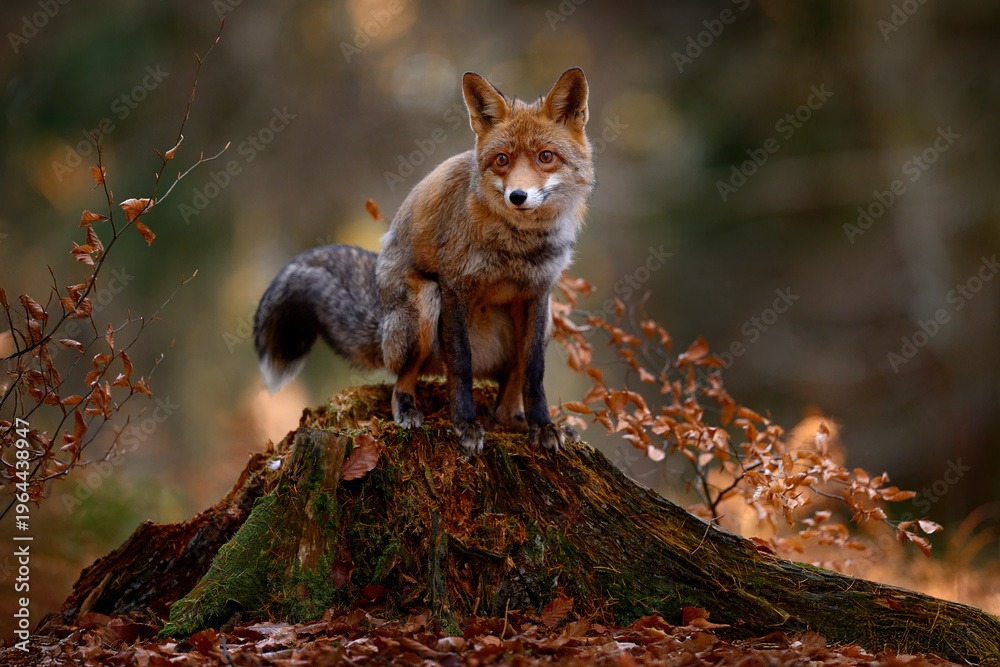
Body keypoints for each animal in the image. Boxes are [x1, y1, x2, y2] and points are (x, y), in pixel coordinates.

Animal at [254, 67, 595, 453]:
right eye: (502, 160)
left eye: (545, 157)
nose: (518, 196)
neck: (518, 246)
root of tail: (382, 315)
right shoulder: (454, 287)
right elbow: (460, 366)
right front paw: (464, 424)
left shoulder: (538, 294)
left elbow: (534, 374)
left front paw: (544, 426)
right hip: (423, 306)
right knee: (402, 379)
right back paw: (407, 410)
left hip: (544, 320)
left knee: (503, 407)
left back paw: (519, 422)